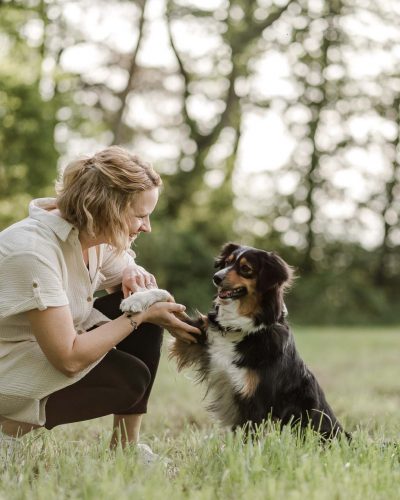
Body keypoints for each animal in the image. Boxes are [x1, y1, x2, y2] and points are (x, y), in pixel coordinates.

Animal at [120, 244, 348, 440]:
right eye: (227, 263)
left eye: (245, 269)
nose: (216, 278)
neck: (243, 329)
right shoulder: (193, 337)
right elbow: (167, 296)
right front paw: (136, 300)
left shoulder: (256, 403)